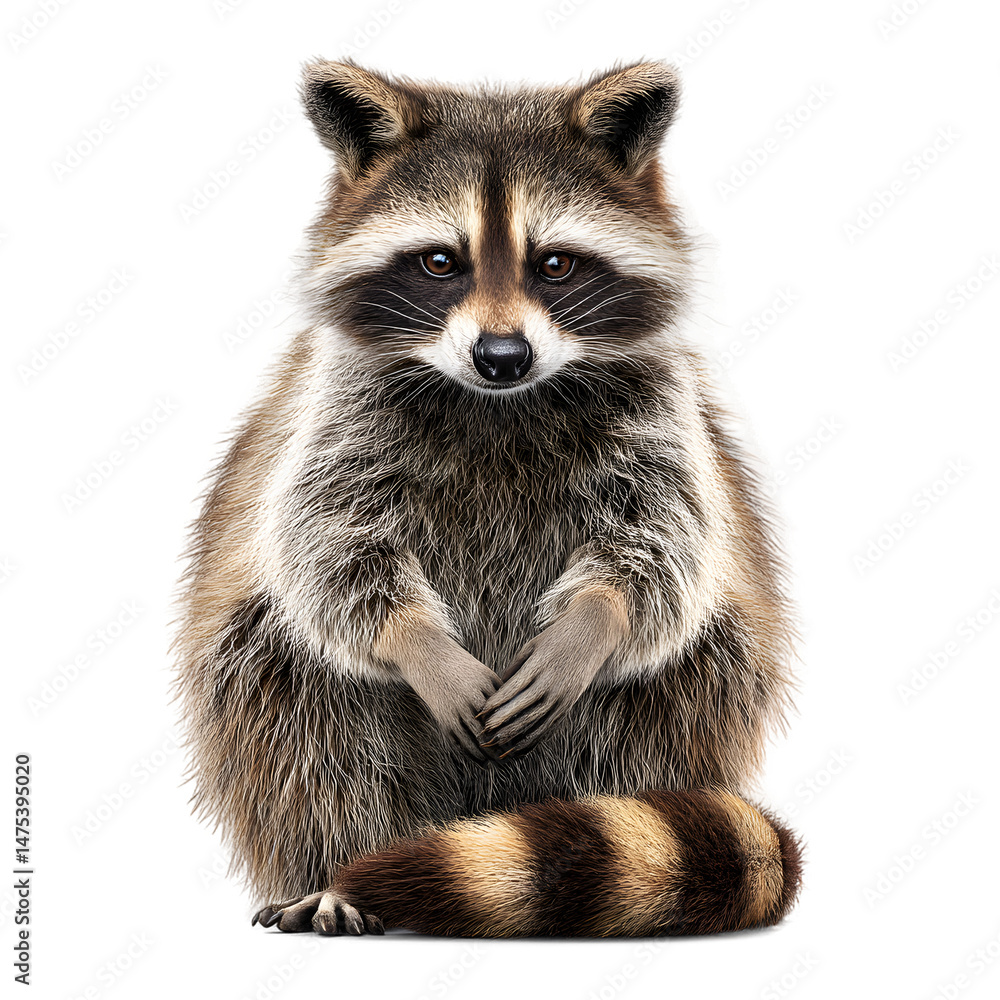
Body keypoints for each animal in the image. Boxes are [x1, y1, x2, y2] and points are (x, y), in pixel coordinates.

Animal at [175, 59, 802, 938]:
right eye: (442, 262)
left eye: (556, 265)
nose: (501, 355)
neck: (499, 402)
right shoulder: (331, 407)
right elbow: (327, 543)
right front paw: (418, 643)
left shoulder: (663, 411)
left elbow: (661, 547)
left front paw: (592, 621)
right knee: (298, 702)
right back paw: (342, 866)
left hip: (678, 703)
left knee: (677, 686)